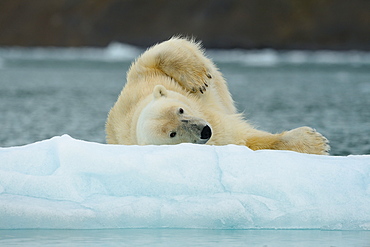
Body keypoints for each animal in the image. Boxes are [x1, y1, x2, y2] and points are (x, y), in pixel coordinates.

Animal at [106, 36, 330, 154]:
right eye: (172, 134)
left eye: (180, 110)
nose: (205, 130)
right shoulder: (218, 137)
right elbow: (243, 139)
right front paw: (317, 142)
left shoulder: (143, 79)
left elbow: (156, 54)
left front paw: (198, 80)